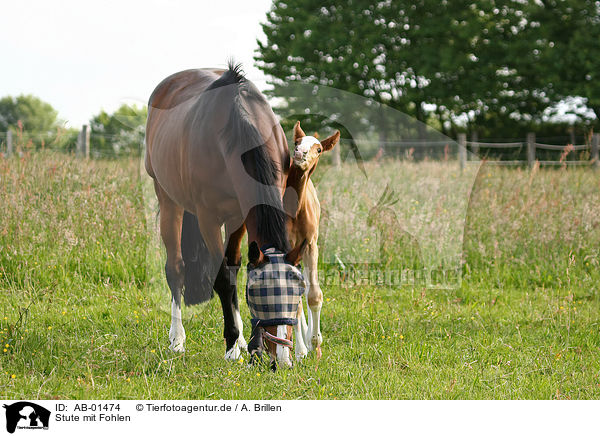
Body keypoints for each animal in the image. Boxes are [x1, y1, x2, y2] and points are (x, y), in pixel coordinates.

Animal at [146, 61, 304, 362]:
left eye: (297, 294)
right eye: (261, 297)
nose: (281, 356)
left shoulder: (241, 217)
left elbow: (236, 269)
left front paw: (248, 343)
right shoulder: (208, 219)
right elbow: (223, 279)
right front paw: (232, 345)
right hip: (169, 199)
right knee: (175, 268)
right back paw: (177, 339)